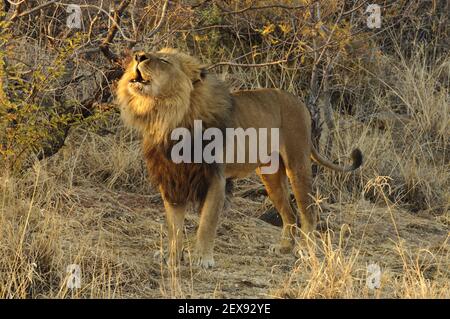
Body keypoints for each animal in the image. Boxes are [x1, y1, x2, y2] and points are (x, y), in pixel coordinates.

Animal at [116, 48, 362, 268]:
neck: (166, 116)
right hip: (270, 176)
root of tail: (299, 101)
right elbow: (174, 227)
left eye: (165, 60)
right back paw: (283, 248)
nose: (137, 56)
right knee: (290, 214)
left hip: (297, 163)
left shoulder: (216, 178)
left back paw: (305, 249)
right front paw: (172, 258)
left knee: (308, 211)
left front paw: (202, 259)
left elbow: (206, 222)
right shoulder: (173, 179)